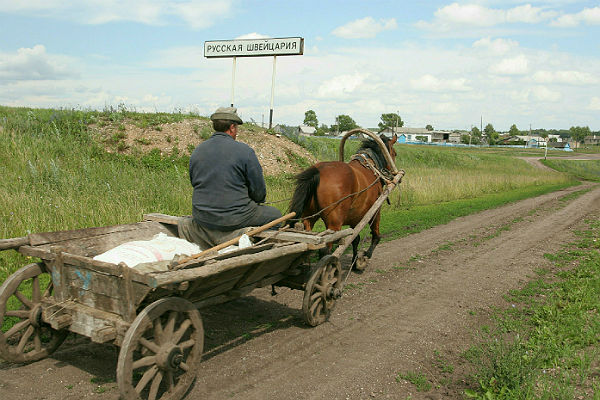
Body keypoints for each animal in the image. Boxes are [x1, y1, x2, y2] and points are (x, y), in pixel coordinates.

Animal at [288, 133, 398, 269]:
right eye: (395, 153)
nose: (393, 174)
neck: (371, 168)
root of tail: (318, 171)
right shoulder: (375, 211)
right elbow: (376, 236)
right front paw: (364, 257)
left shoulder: (355, 217)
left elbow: (355, 238)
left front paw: (354, 262)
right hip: (334, 224)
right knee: (325, 249)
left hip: (309, 218)